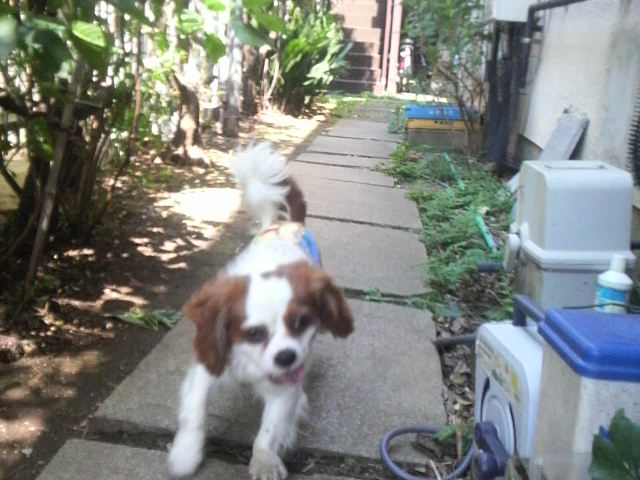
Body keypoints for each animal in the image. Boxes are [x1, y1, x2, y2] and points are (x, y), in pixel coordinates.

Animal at [167, 143, 354, 479]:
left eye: (301, 322)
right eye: (253, 334)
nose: (287, 357)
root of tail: (284, 224)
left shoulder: (285, 386)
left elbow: (269, 429)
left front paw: (265, 459)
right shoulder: (208, 362)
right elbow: (194, 412)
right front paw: (185, 454)